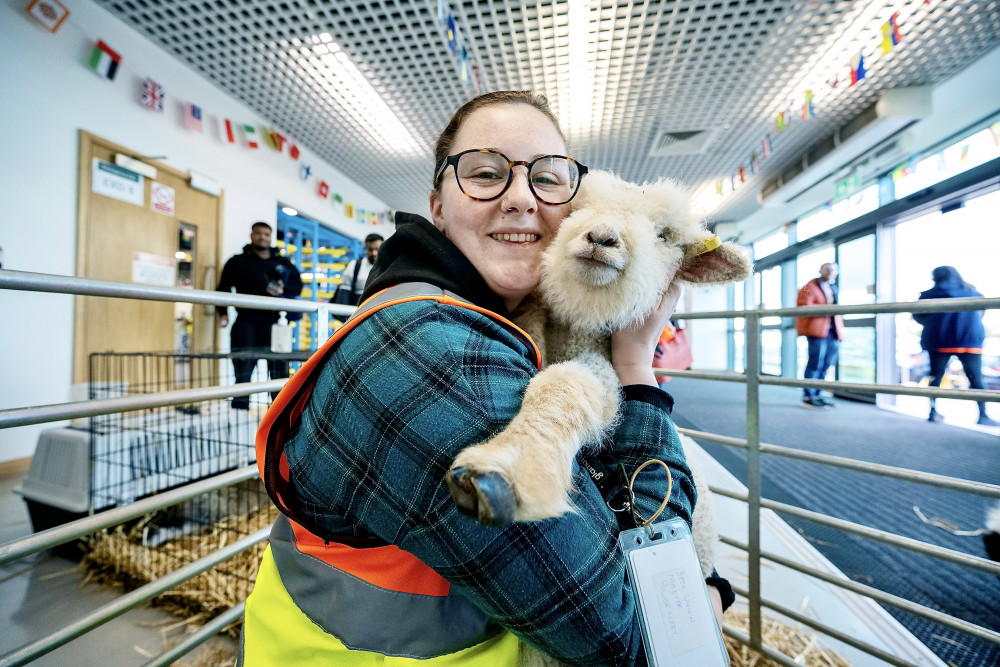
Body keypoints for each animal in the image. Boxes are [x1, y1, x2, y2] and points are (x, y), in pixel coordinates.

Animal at [446, 170, 752, 576]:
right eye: (579, 208)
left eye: (665, 236)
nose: (602, 237)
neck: (582, 323)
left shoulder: (607, 380)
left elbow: (569, 382)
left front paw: (510, 469)